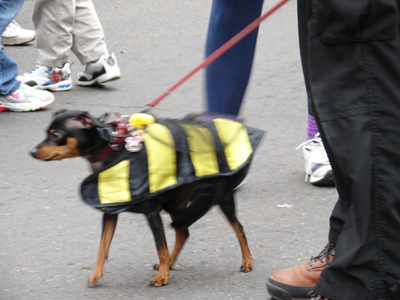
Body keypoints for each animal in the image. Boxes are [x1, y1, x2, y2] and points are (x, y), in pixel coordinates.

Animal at [30, 109, 262, 288]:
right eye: (46, 133)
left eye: (56, 135)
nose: (32, 151)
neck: (113, 152)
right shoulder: (110, 213)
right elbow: (102, 247)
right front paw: (96, 274)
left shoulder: (151, 213)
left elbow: (160, 246)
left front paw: (162, 277)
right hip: (176, 204)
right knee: (183, 232)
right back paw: (170, 263)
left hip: (222, 197)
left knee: (238, 228)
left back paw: (247, 261)